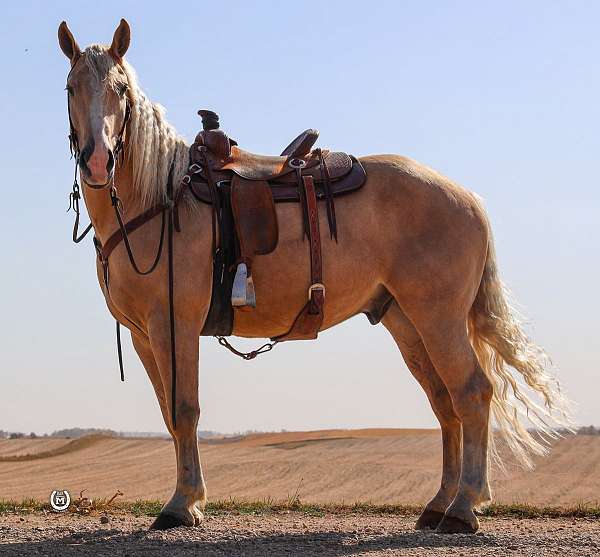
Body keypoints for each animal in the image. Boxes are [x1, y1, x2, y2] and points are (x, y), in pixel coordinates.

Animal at [58, 19, 568, 532]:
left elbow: (184, 410)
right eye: (71, 87)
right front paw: (191, 499)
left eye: (120, 90)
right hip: (407, 322)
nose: (98, 161)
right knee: (445, 404)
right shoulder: (145, 335)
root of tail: (467, 198)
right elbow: (168, 413)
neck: (159, 200)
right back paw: (439, 503)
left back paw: (464, 507)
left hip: (438, 319)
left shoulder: (174, 323)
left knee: (471, 393)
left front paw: (182, 504)